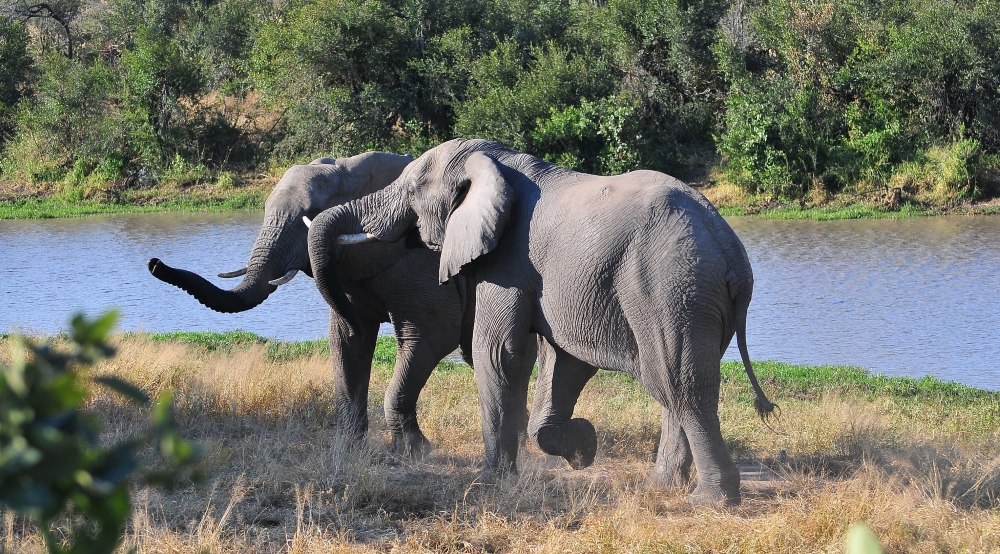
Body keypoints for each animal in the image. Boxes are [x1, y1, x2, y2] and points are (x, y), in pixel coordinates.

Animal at [147, 150, 484, 452]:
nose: (154, 263)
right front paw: (349, 447)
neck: (353, 173)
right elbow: (347, 342)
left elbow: (431, 336)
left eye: (311, 212)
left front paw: (416, 451)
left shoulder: (422, 268)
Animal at [308, 139, 776, 504]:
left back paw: (709, 501)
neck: (497, 160)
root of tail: (732, 252)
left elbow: (499, 353)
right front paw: (583, 448)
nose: (355, 319)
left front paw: (492, 481)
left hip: (672, 289)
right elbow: (563, 361)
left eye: (410, 189)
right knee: (671, 386)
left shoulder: (509, 262)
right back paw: (659, 488)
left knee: (680, 383)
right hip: (694, 300)